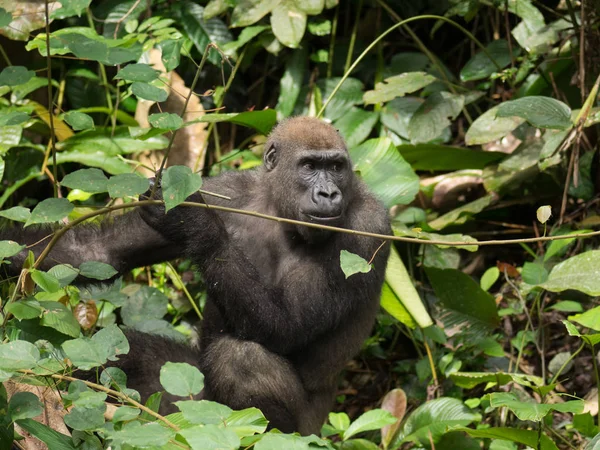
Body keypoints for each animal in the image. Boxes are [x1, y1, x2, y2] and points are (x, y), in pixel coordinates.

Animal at [1, 117, 394, 436]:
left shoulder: (367, 227)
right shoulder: (222, 190)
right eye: (310, 165)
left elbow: (287, 325)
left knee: (241, 360)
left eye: (337, 167)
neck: (274, 207)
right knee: (119, 354)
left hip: (302, 430)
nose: (329, 192)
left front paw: (194, 224)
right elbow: (95, 253)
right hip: (185, 400)